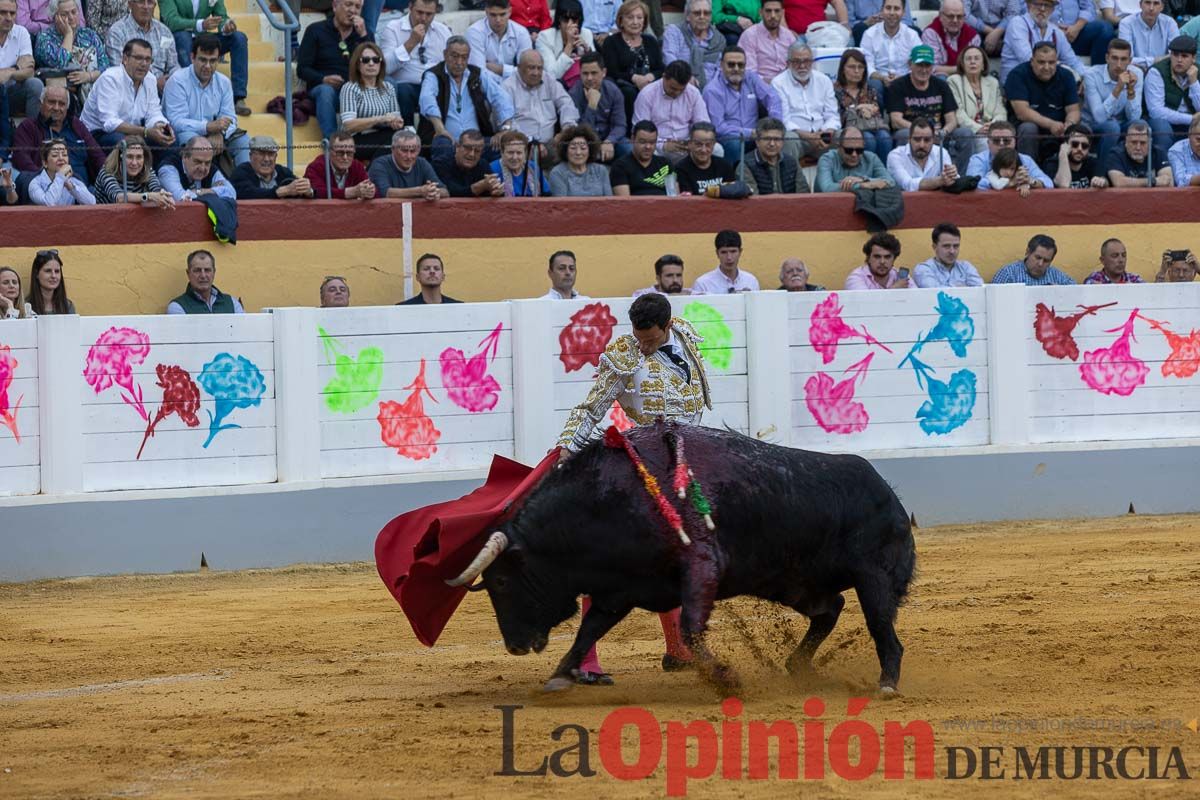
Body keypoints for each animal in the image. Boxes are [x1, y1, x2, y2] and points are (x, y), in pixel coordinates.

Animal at [451, 424, 916, 695]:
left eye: (502, 582)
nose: (514, 645)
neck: (605, 502)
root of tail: (889, 493)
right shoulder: (618, 589)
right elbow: (589, 629)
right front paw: (561, 675)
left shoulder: (701, 564)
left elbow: (691, 628)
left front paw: (726, 679)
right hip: (796, 582)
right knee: (829, 609)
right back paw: (798, 666)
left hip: (874, 576)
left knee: (882, 629)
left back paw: (887, 684)